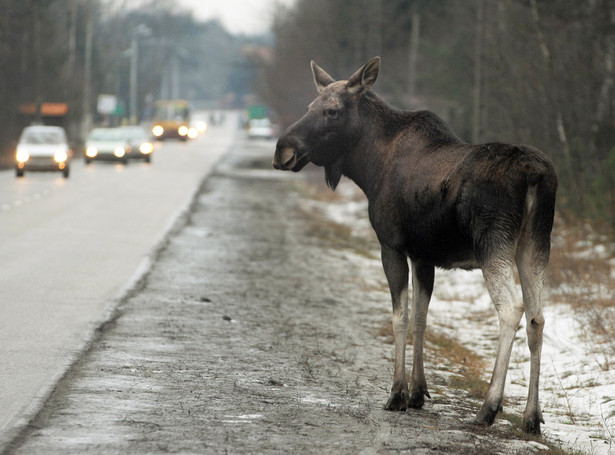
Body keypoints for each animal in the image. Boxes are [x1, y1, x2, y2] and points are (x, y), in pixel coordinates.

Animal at [272, 57, 560, 434]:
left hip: (493, 243)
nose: (282, 150)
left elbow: (401, 316)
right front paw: (418, 391)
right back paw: (531, 416)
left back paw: (489, 407)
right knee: (537, 316)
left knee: (512, 309)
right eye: (310, 106)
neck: (368, 167)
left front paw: (397, 393)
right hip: (535, 244)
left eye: (331, 111)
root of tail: (537, 176)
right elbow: (422, 318)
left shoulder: (391, 245)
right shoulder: (424, 256)